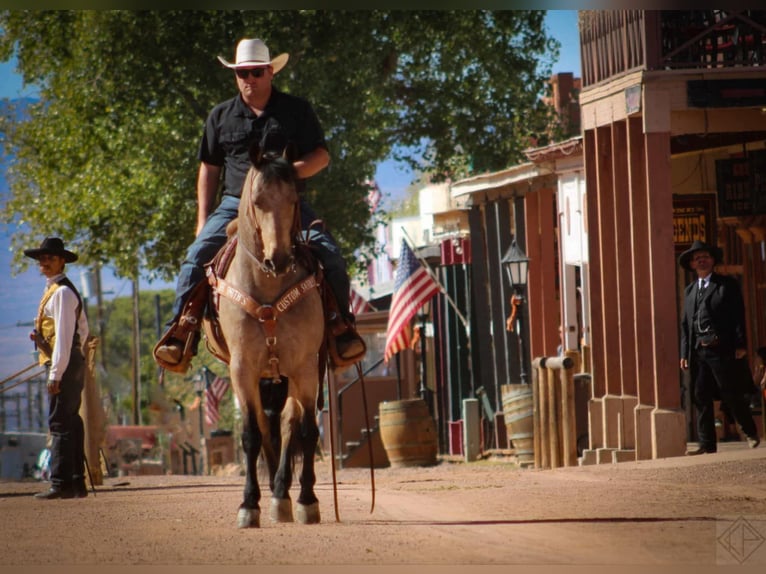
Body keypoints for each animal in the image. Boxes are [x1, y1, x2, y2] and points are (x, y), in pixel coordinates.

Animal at [202, 140, 326, 532]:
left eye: (293, 199)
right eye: (257, 201)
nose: (279, 259)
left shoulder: (305, 367)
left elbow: (305, 430)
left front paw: (307, 500)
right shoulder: (242, 369)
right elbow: (251, 435)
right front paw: (249, 505)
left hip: (289, 375)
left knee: (286, 425)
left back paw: (284, 493)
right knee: (266, 427)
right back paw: (274, 492)